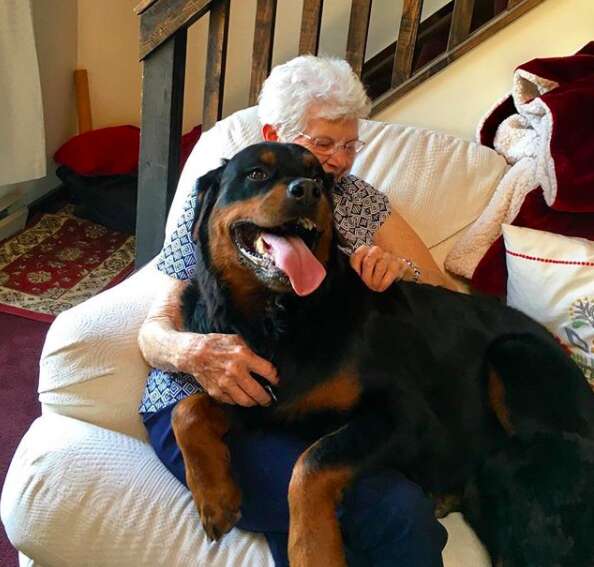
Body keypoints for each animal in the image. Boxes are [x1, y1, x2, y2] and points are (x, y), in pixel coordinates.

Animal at [171, 142, 592, 567]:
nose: (308, 190)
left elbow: (310, 463)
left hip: (514, 356)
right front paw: (215, 495)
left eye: (318, 177)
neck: (282, 316)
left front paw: (312, 548)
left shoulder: (405, 415)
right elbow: (187, 410)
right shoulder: (259, 392)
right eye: (257, 173)